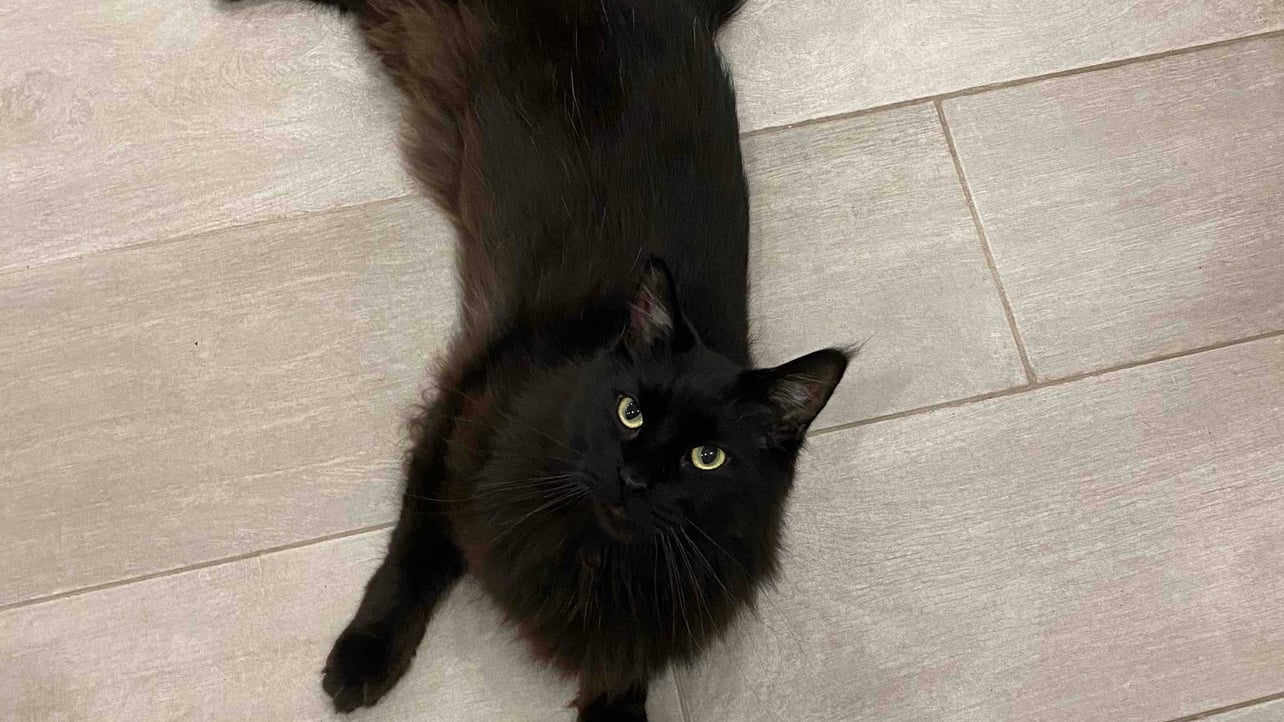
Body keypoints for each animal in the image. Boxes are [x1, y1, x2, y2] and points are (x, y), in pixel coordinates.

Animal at [230, 0, 849, 719]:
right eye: (631, 413)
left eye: (707, 457)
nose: (635, 478)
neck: (594, 556)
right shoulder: (461, 409)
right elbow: (414, 551)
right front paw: (365, 656)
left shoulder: (627, 639)